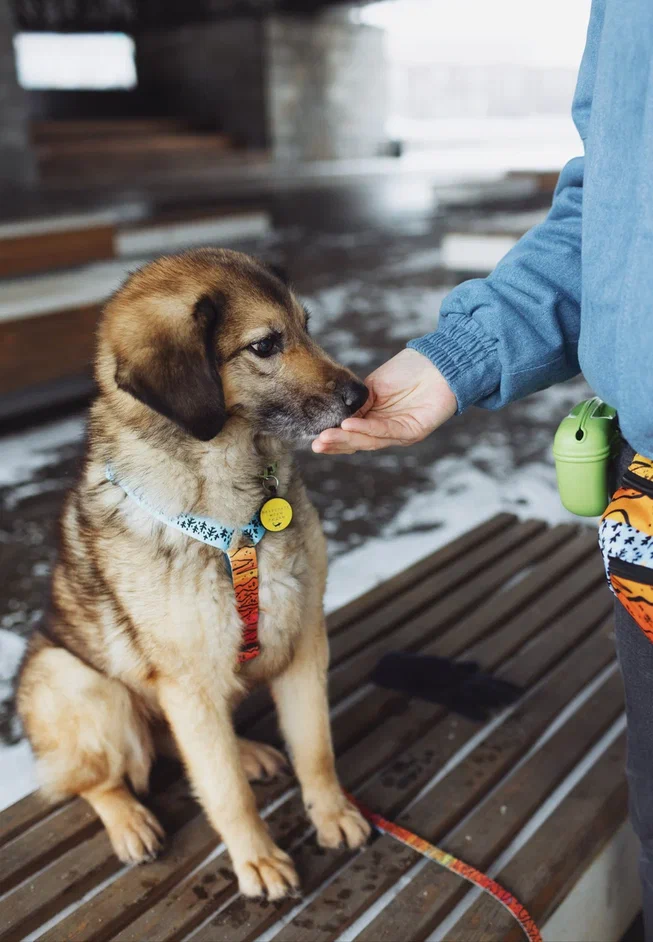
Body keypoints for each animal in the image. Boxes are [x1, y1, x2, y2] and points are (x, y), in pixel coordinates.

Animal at [17, 248, 371, 899]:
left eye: (307, 326)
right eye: (265, 345)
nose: (361, 395)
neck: (239, 506)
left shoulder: (303, 641)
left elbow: (315, 750)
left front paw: (332, 814)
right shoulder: (188, 684)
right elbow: (226, 792)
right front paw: (257, 859)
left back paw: (249, 751)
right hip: (80, 683)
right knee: (96, 781)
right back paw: (130, 820)